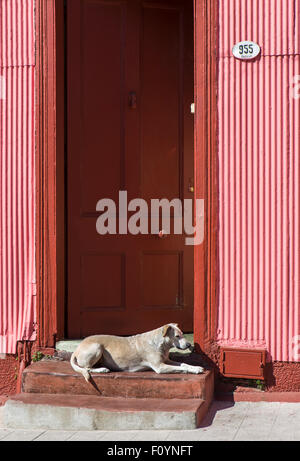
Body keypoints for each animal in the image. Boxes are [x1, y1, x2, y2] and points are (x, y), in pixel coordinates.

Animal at [71, 322, 205, 380]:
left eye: (182, 334)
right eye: (177, 336)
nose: (189, 345)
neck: (161, 344)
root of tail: (76, 349)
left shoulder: (167, 361)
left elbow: (184, 364)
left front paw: (196, 367)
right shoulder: (160, 367)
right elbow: (181, 368)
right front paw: (193, 370)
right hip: (97, 347)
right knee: (87, 368)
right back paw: (101, 369)